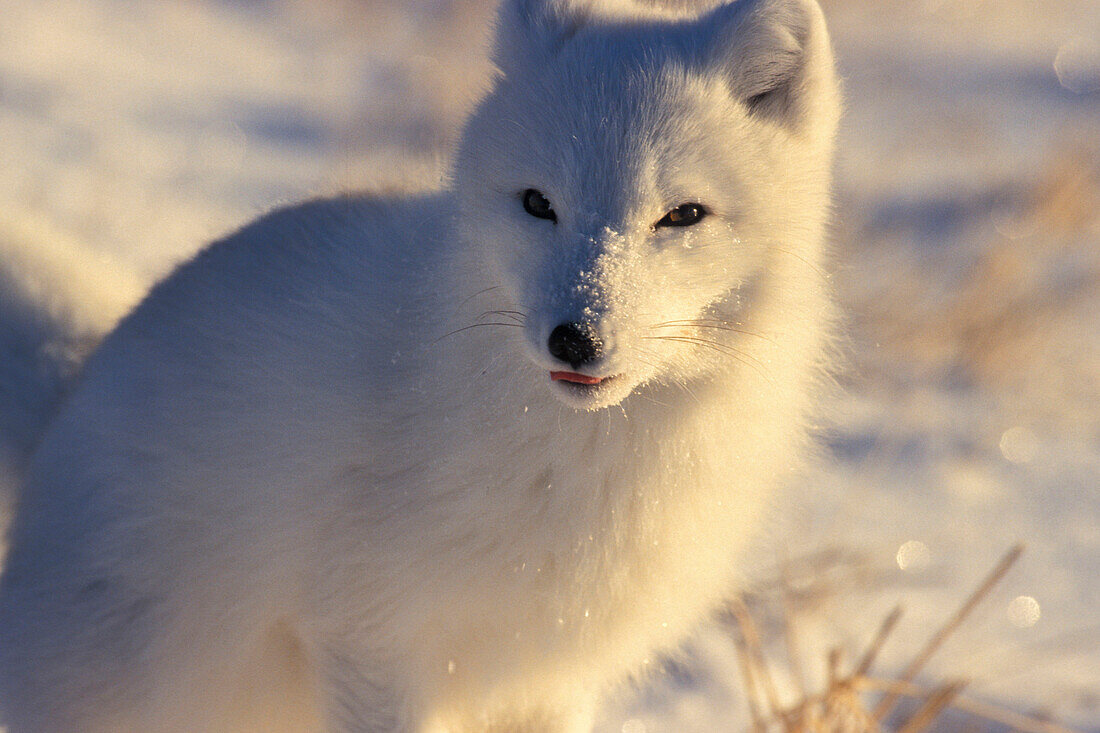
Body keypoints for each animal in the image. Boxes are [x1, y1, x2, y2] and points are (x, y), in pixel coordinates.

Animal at [0, 0, 831, 726]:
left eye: (683, 215)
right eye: (538, 203)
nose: (575, 338)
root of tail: (73, 391)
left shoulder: (550, 675)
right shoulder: (370, 634)